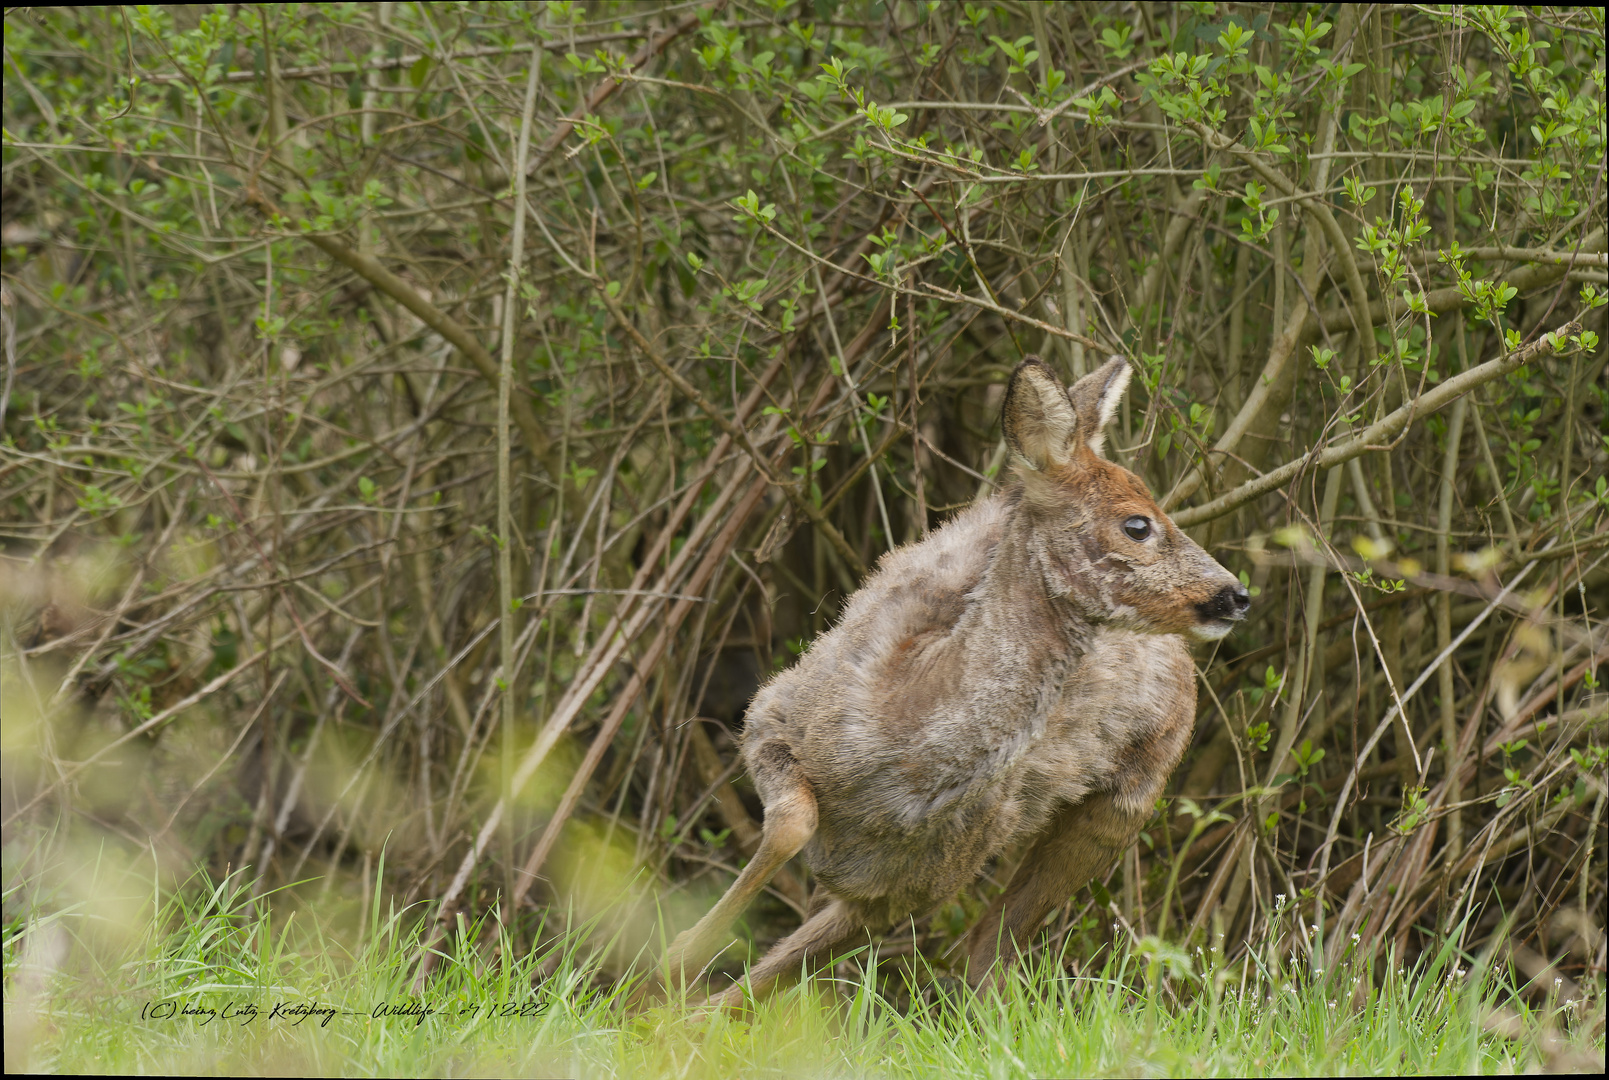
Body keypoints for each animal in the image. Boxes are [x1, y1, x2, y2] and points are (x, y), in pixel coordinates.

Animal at [659, 358, 1248, 1010]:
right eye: (1137, 523)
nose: (1235, 594)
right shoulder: (773, 708)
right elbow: (792, 826)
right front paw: (675, 961)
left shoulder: (922, 879)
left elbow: (764, 974)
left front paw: (673, 985)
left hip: (1127, 798)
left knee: (987, 946)